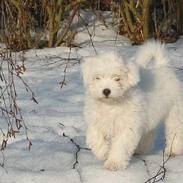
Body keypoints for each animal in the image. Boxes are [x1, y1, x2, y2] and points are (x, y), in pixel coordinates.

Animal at [81, 40, 183, 171]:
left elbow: (120, 145)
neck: (111, 105)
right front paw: (104, 153)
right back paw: (141, 149)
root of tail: (163, 66)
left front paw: (114, 163)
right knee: (148, 133)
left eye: (117, 78)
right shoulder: (95, 121)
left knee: (175, 130)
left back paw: (173, 150)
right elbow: (95, 137)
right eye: (97, 77)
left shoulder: (127, 126)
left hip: (174, 111)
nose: (106, 91)